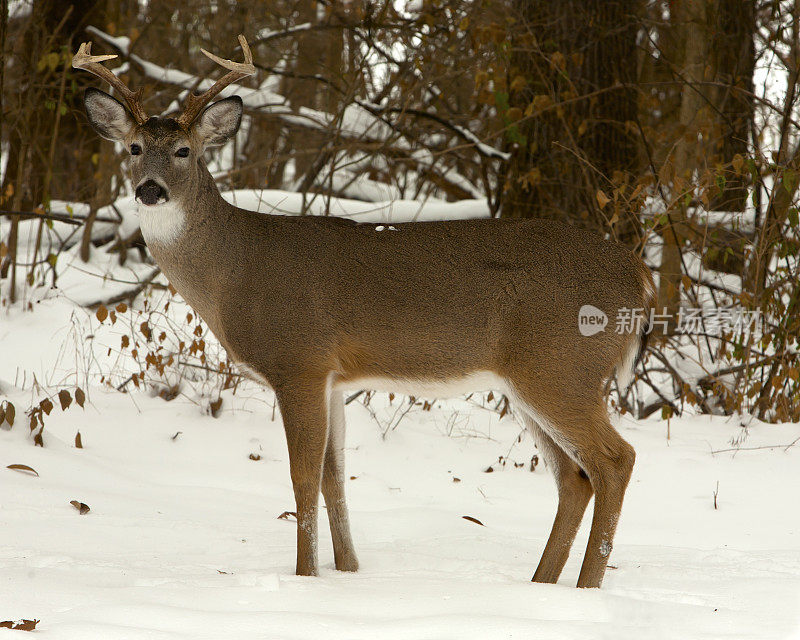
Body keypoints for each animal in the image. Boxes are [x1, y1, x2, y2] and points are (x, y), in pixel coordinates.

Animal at [75, 33, 652, 584]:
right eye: (132, 148)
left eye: (183, 151)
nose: (150, 190)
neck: (235, 271)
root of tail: (640, 278)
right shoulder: (332, 378)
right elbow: (334, 478)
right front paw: (348, 570)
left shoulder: (299, 362)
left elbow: (302, 477)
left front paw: (306, 576)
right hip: (531, 380)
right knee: (574, 477)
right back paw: (541, 584)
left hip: (562, 368)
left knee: (616, 461)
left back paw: (586, 586)